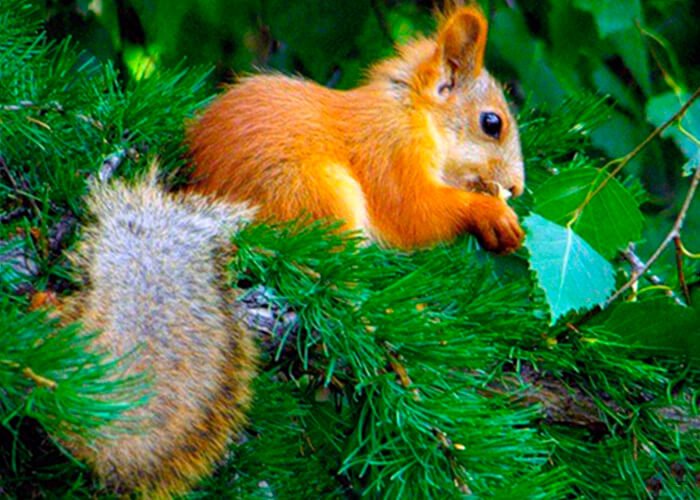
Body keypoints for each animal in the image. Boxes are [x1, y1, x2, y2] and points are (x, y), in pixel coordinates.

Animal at [187, 5, 525, 254]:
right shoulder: (391, 150)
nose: (517, 187)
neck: (413, 111)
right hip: (313, 194)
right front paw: (491, 213)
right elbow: (412, 212)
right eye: (492, 123)